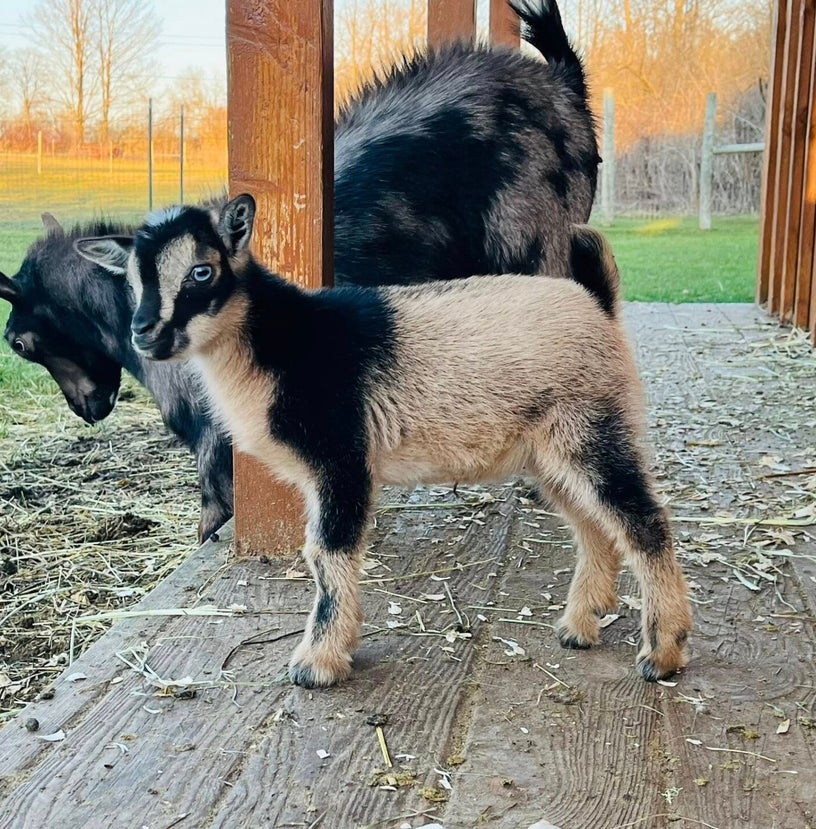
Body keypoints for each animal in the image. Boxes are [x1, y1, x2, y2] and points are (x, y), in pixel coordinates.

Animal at [74, 194, 692, 689]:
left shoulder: (341, 457)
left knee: (643, 520)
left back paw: (663, 651)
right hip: (548, 451)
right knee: (594, 525)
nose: (144, 334)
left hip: (591, 425)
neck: (279, 343)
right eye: (132, 281)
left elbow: (326, 553)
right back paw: (581, 625)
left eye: (202, 272)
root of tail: (598, 304)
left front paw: (318, 663)